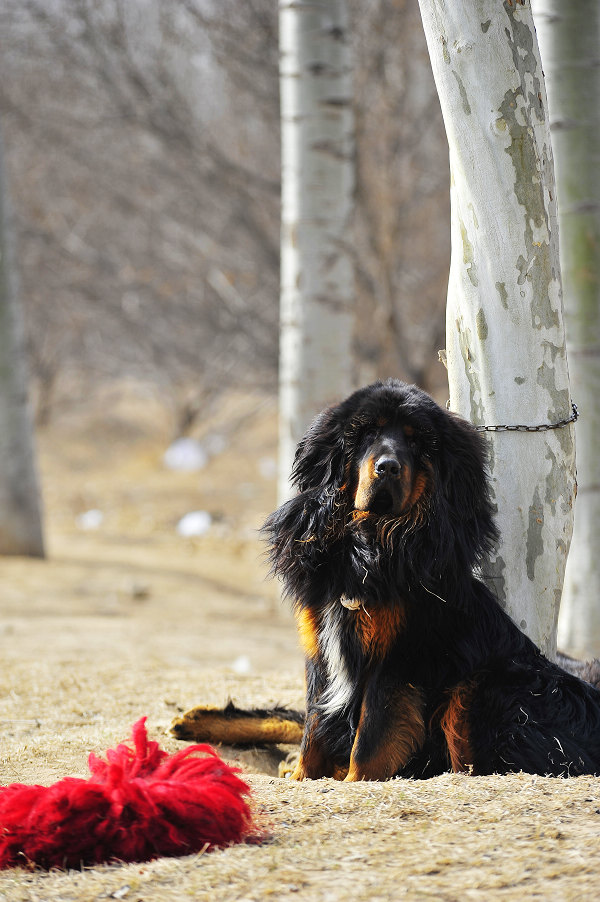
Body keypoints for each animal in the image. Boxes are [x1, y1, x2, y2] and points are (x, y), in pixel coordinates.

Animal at [171, 378, 600, 780]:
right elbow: (313, 725)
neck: (370, 542)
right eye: (366, 434)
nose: (388, 467)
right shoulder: (319, 648)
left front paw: (349, 782)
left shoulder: (396, 661)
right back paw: (195, 721)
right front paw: (302, 776)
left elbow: (369, 739)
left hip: (482, 687)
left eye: (416, 442)